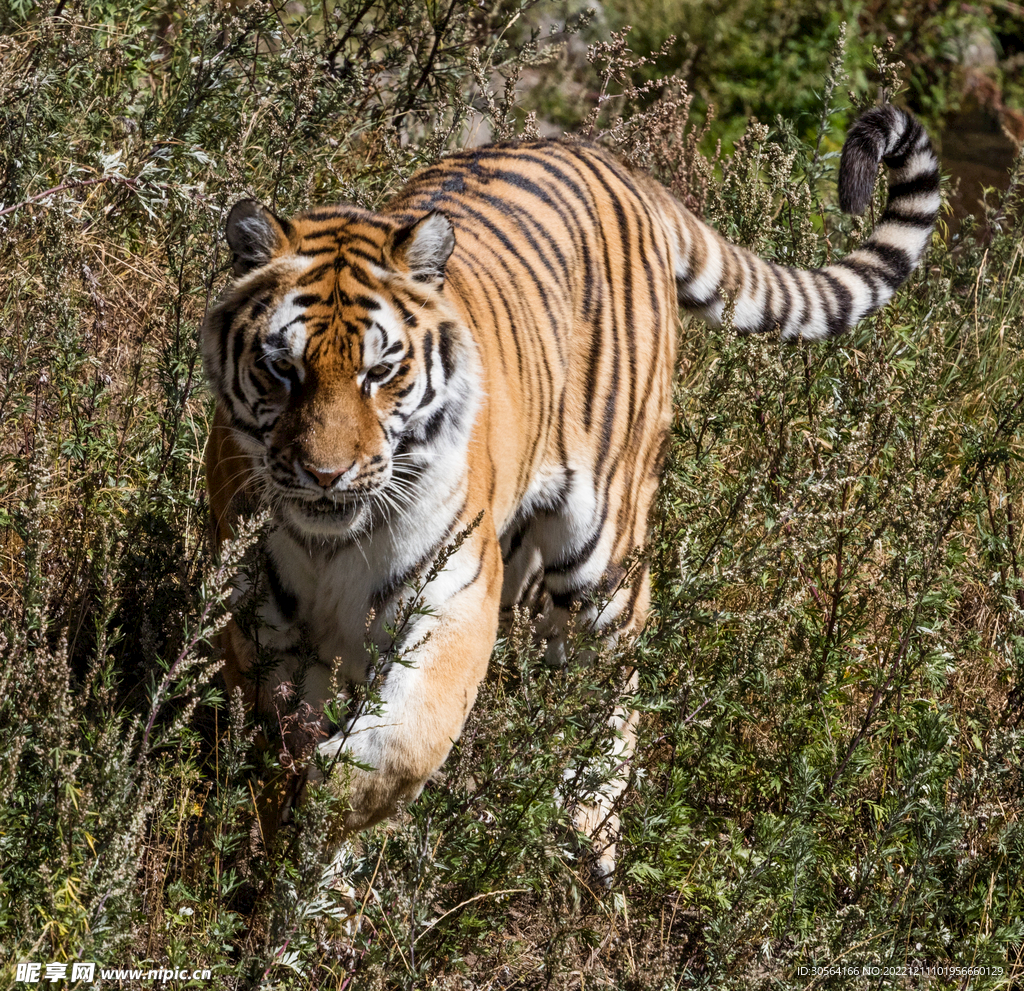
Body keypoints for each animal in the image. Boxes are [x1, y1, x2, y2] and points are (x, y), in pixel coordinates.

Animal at [202, 104, 939, 879]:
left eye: (380, 372)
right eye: (282, 369)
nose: (325, 474)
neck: (329, 543)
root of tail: (615, 162)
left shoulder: (454, 597)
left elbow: (391, 749)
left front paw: (329, 832)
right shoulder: (262, 624)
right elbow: (274, 748)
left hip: (602, 556)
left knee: (613, 690)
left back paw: (589, 839)